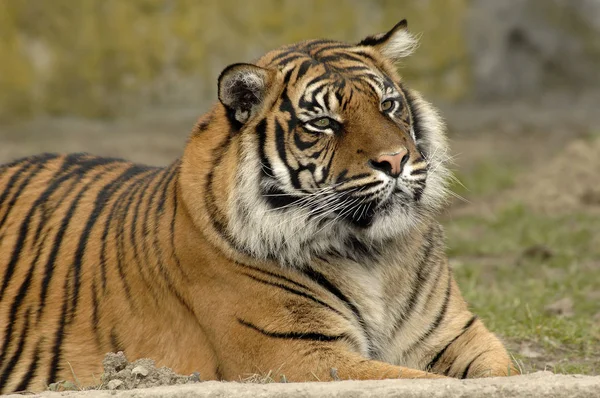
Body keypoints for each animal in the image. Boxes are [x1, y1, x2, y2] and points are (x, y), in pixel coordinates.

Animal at [0, 19, 516, 392]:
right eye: (323, 122)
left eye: (388, 105)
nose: (395, 160)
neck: (371, 253)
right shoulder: (298, 354)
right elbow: (419, 381)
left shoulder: (455, 334)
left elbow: (506, 374)